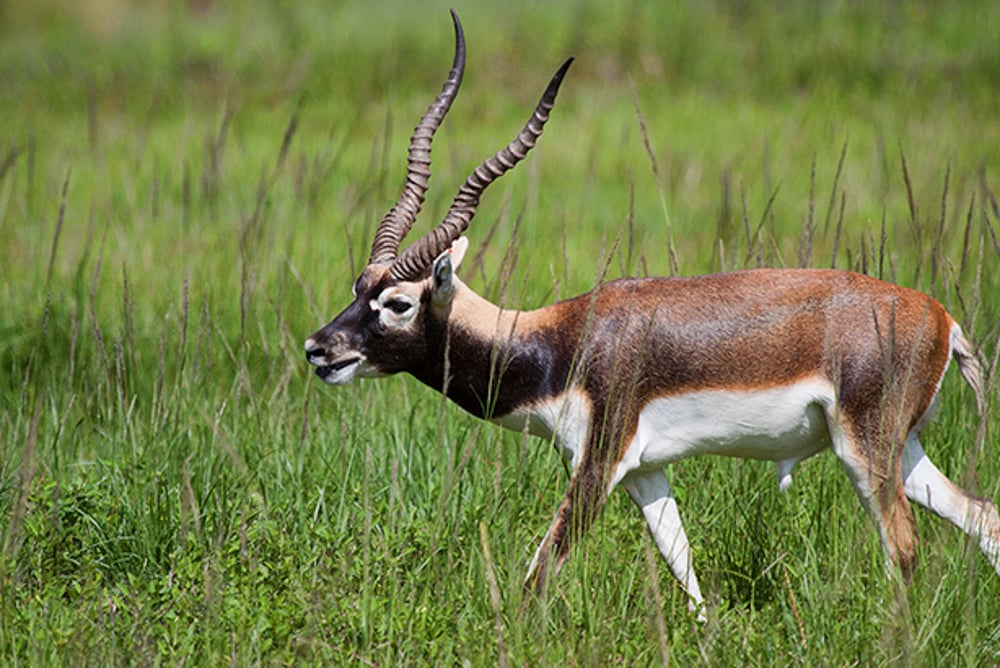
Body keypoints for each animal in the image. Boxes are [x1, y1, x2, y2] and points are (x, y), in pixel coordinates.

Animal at [304, 10, 1000, 616]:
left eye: (397, 303)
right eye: (358, 285)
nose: (319, 349)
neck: (558, 343)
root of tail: (941, 317)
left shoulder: (599, 462)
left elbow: (539, 572)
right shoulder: (647, 472)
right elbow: (683, 566)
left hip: (864, 449)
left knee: (905, 547)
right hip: (902, 450)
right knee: (984, 517)